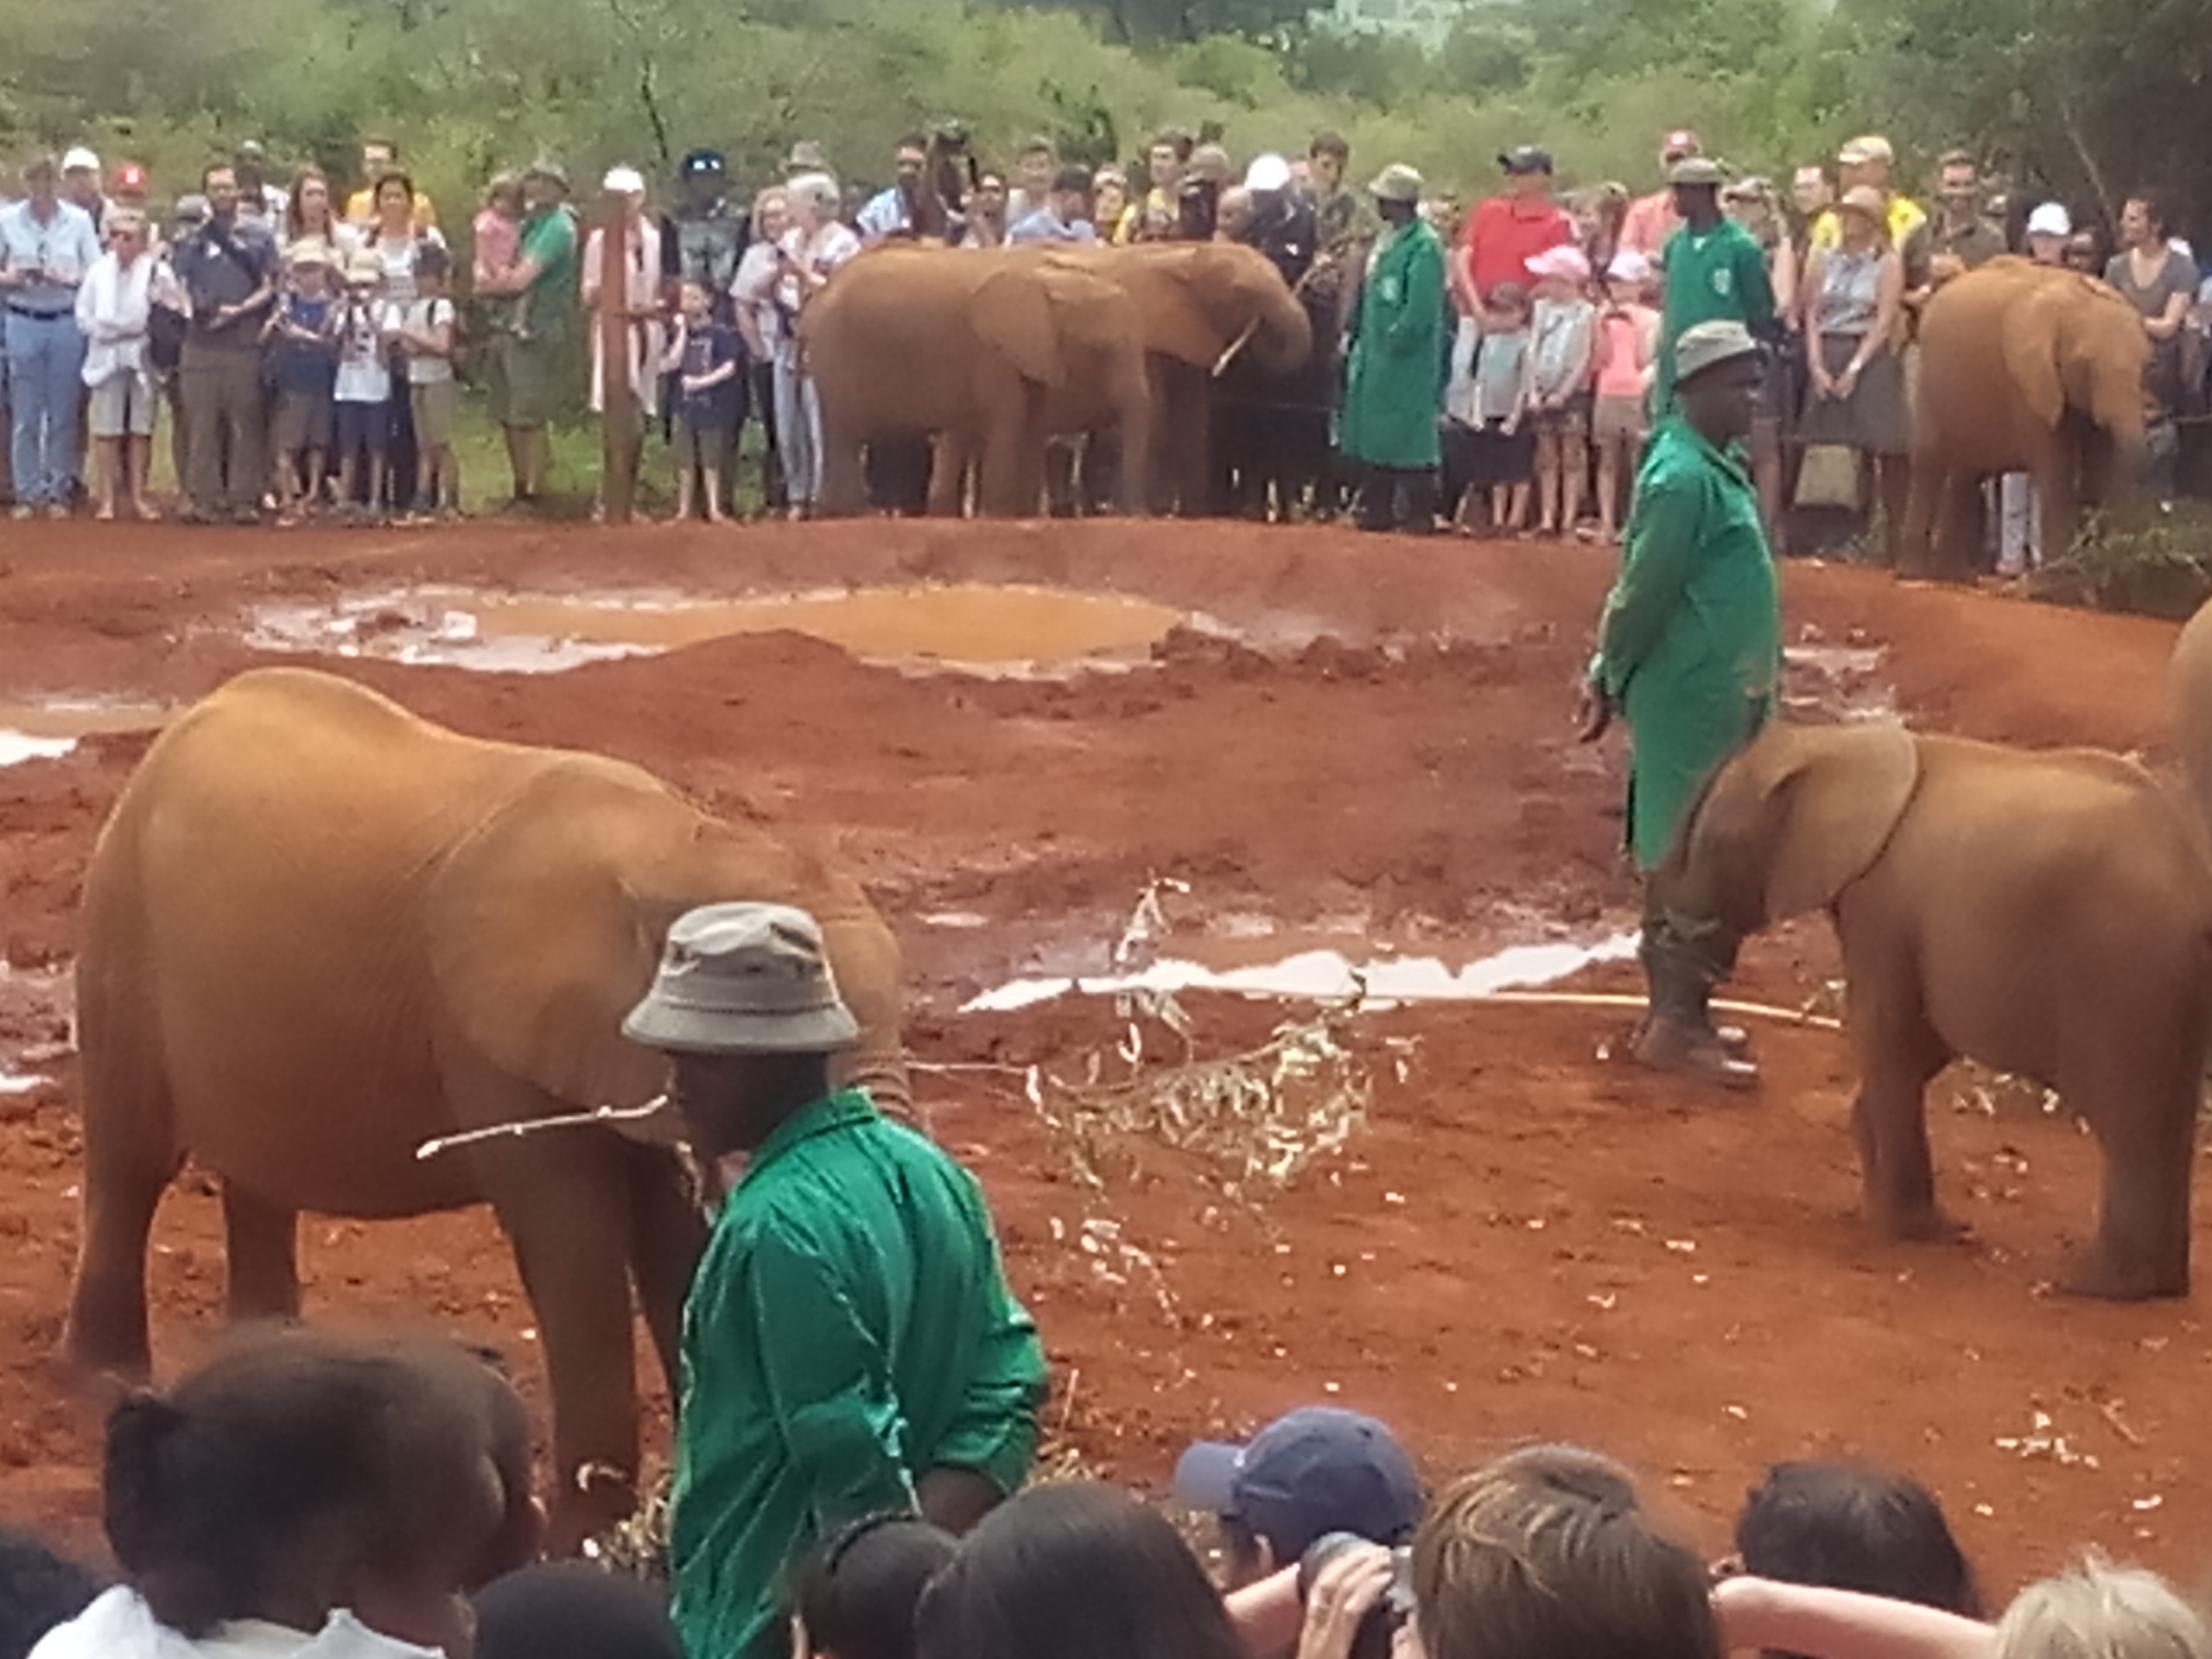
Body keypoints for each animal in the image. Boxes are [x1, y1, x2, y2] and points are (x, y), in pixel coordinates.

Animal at [1663, 721, 2212, 1309]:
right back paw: (2154, 1286)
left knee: (2129, 1123)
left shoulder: (1883, 901)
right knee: (2165, 1116)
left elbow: (1889, 1032)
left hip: (2120, 968)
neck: (1831, 740)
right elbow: (1917, 1048)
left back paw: (2093, 1284)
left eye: (1710, 837)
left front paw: (1913, 1230)